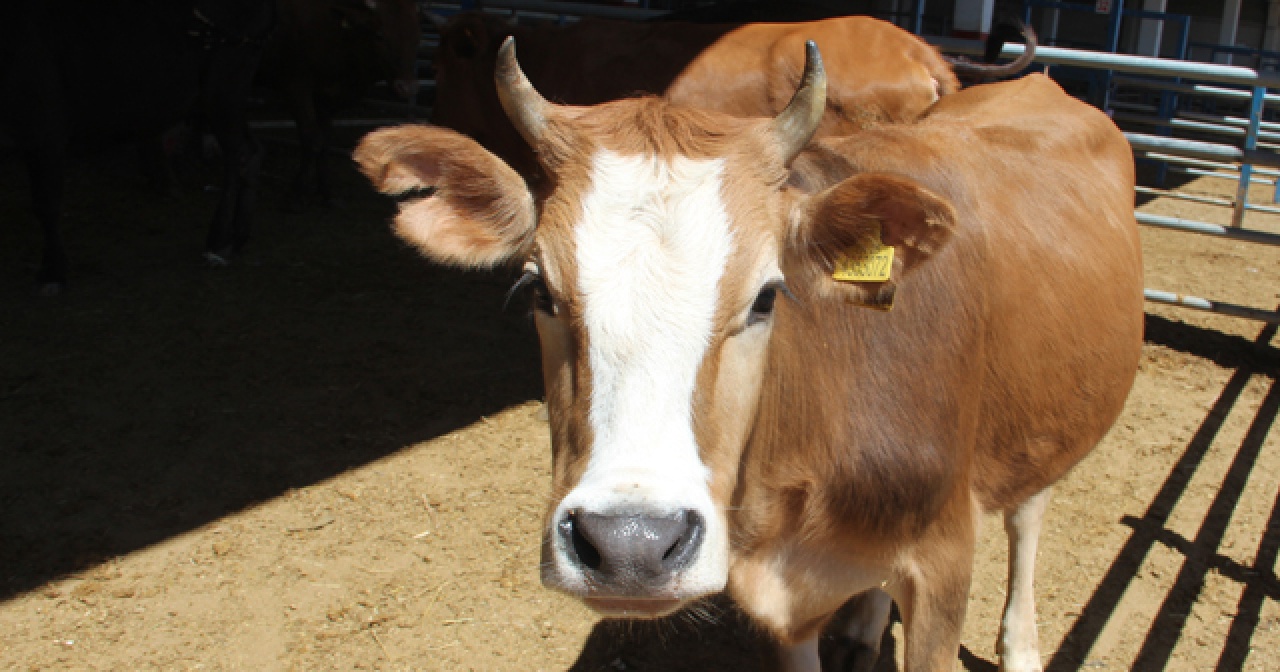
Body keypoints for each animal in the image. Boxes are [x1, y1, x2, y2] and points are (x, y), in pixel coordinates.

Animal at [353, 41, 1141, 670]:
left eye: (767, 295)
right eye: (535, 289)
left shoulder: (944, 569)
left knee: (1028, 512)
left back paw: (1021, 645)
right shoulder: (781, 600)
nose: (631, 546)